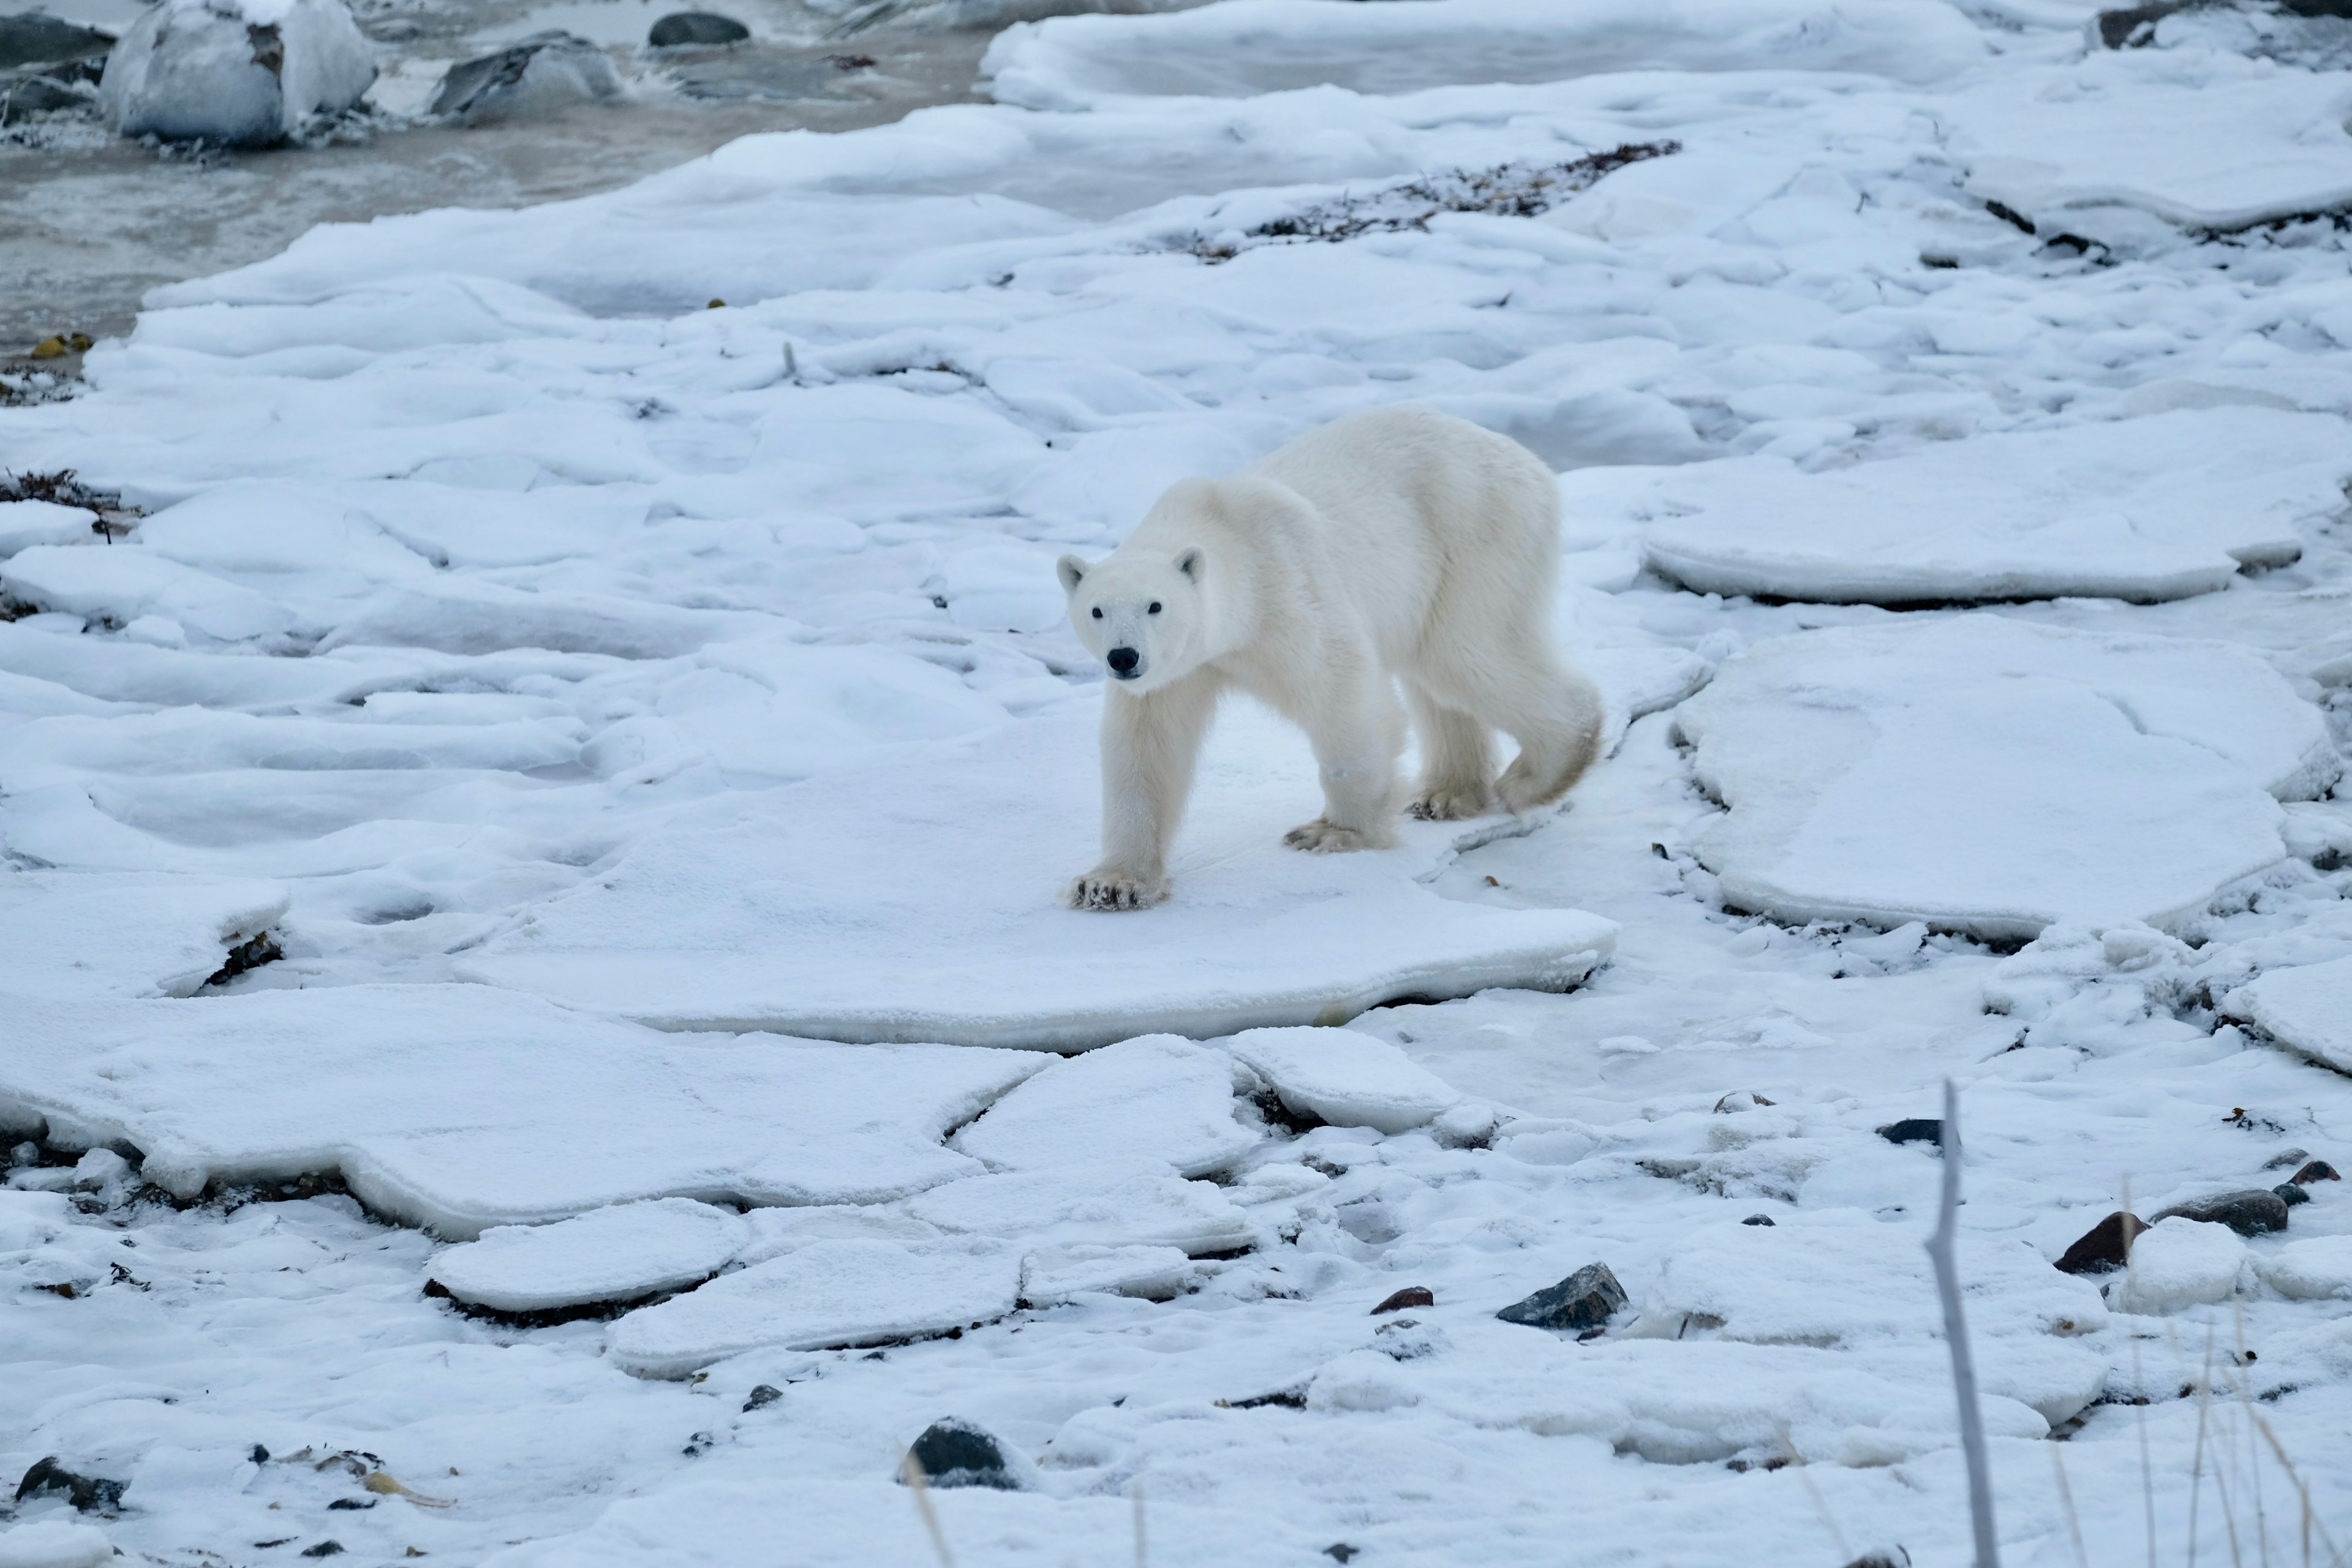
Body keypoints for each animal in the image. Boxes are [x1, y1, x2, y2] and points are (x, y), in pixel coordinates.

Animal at [1058, 404, 1608, 912]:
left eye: (1156, 605)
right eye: (1097, 610)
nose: (1124, 657)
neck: (1229, 536)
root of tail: (1528, 461)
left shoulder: (1287, 590)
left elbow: (1342, 691)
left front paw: (1334, 832)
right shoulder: (1176, 672)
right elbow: (1147, 748)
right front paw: (1112, 884)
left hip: (1477, 535)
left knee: (1467, 652)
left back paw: (1538, 774)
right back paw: (1446, 795)